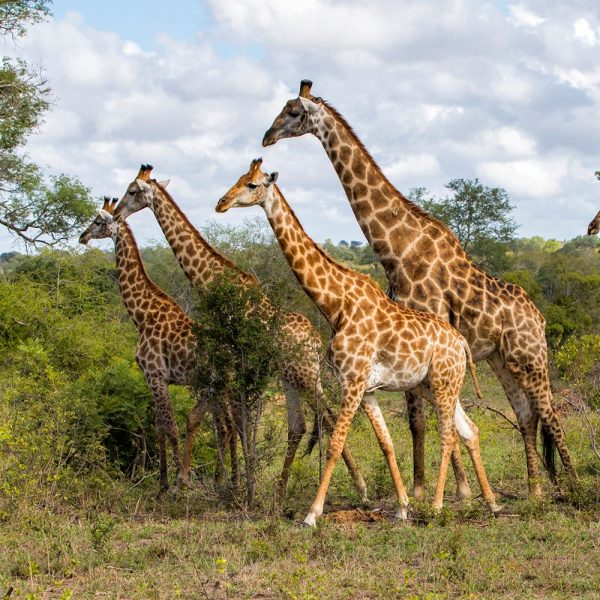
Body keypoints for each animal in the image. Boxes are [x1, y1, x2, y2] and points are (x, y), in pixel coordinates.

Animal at [78, 199, 238, 490]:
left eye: (97, 221)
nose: (82, 236)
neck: (142, 315)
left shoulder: (156, 375)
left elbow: (171, 428)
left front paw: (178, 481)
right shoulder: (151, 378)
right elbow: (159, 428)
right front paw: (162, 483)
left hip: (215, 384)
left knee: (226, 425)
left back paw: (225, 480)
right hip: (221, 386)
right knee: (229, 425)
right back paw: (230, 479)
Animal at [112, 165, 366, 502]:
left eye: (132, 191)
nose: (116, 214)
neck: (214, 281)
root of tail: (314, 339)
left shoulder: (231, 365)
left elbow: (230, 422)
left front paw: (231, 485)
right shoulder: (231, 368)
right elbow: (234, 422)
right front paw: (238, 484)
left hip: (302, 374)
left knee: (328, 416)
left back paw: (359, 486)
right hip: (292, 376)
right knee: (300, 425)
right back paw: (282, 490)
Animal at [216, 158, 502, 524]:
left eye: (252, 184)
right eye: (238, 178)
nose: (221, 203)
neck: (335, 305)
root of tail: (460, 342)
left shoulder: (351, 382)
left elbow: (335, 443)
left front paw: (312, 514)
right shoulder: (366, 390)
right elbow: (386, 443)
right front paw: (402, 508)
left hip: (443, 382)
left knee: (448, 433)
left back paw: (439, 506)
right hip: (435, 384)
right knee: (468, 429)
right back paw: (492, 503)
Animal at [262, 81, 576, 502]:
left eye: (294, 112)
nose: (267, 137)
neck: (397, 248)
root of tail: (539, 316)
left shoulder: (428, 329)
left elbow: (430, 419)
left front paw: (449, 491)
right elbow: (418, 421)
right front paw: (429, 489)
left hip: (530, 357)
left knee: (551, 414)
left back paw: (573, 487)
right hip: (501, 360)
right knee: (526, 415)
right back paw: (535, 491)